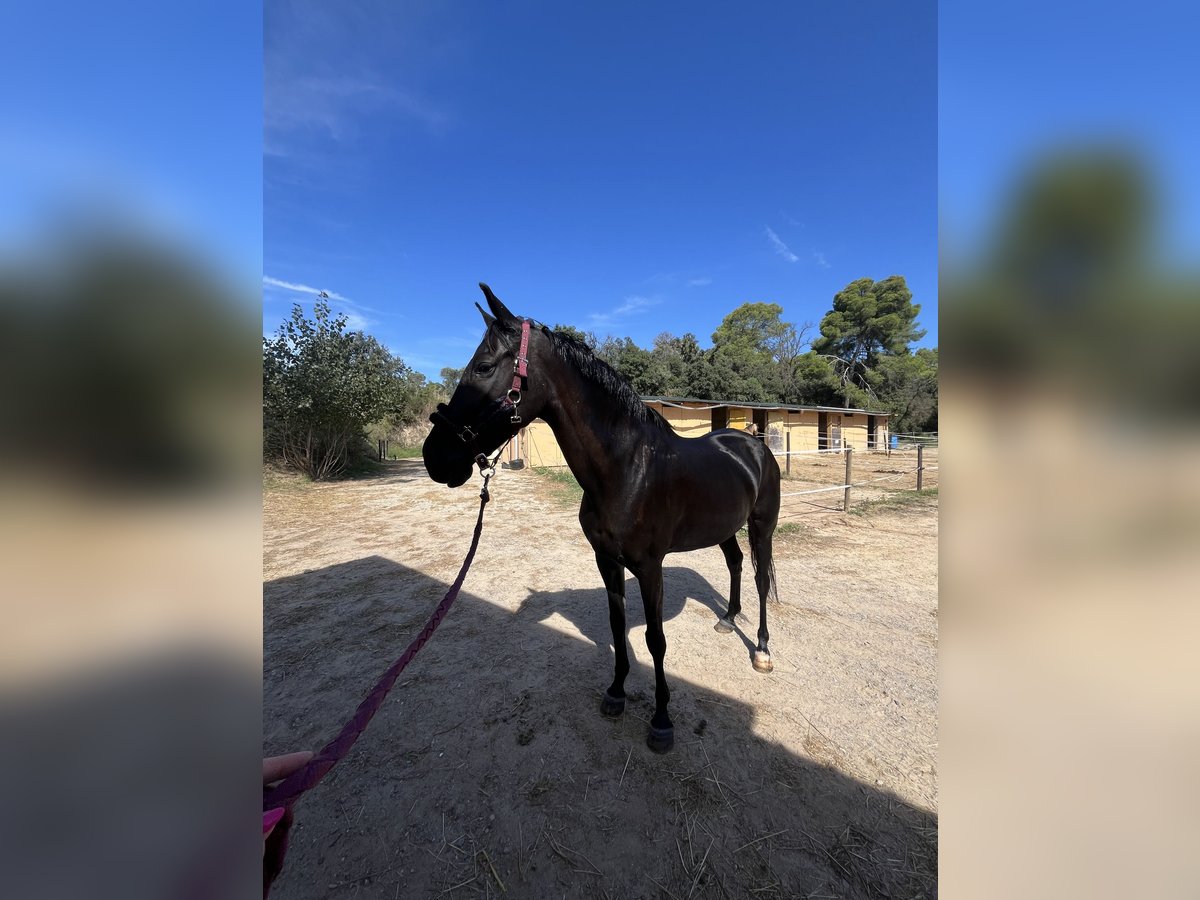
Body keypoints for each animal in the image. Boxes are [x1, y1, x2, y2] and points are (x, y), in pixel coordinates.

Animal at [422, 284, 781, 753]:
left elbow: (654, 640)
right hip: (723, 528)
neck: (626, 469)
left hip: (761, 526)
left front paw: (661, 720)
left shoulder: (649, 567)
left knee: (759, 577)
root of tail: (753, 444)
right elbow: (616, 626)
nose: (433, 456)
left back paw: (762, 650)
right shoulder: (607, 561)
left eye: (483, 367)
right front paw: (616, 693)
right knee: (735, 563)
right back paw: (726, 619)